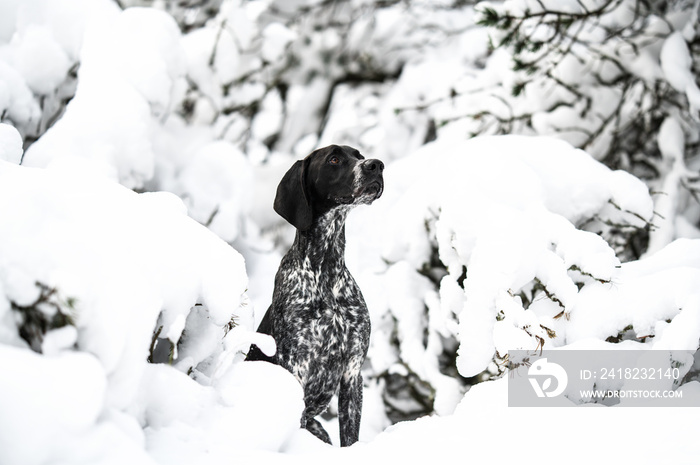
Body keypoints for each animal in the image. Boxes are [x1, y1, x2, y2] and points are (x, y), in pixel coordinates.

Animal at [247, 145, 382, 446]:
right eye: (334, 159)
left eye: (359, 155)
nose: (376, 165)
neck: (326, 271)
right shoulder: (297, 366)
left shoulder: (352, 373)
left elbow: (350, 438)